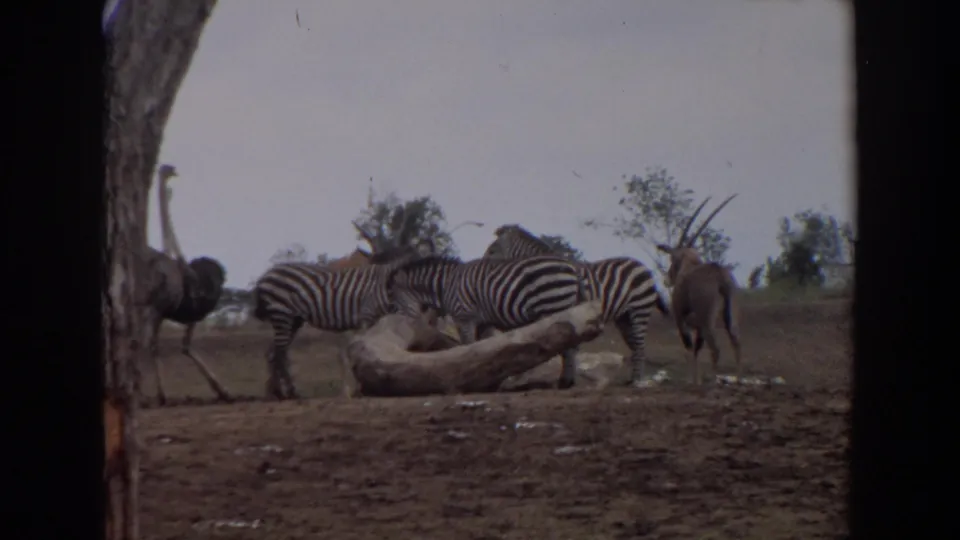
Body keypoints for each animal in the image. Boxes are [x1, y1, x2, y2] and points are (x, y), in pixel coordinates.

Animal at [252, 240, 434, 400]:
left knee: (273, 351)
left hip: (292, 319)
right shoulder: (365, 318)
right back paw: (290, 392)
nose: (425, 308)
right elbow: (356, 350)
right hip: (282, 313)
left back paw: (276, 393)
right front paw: (356, 390)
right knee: (280, 353)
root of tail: (264, 276)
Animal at [385, 254, 597, 389]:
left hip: (554, 305)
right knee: (573, 344)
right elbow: (485, 349)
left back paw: (564, 382)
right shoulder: (483, 322)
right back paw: (568, 381)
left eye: (393, 299)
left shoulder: (464, 317)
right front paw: (487, 379)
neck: (446, 286)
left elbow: (467, 346)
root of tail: (573, 268)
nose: (391, 319)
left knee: (568, 346)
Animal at [483, 224, 670, 386]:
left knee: (640, 345)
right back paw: (632, 379)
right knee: (635, 345)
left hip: (640, 308)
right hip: (624, 317)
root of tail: (641, 265)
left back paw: (637, 381)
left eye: (492, 251)